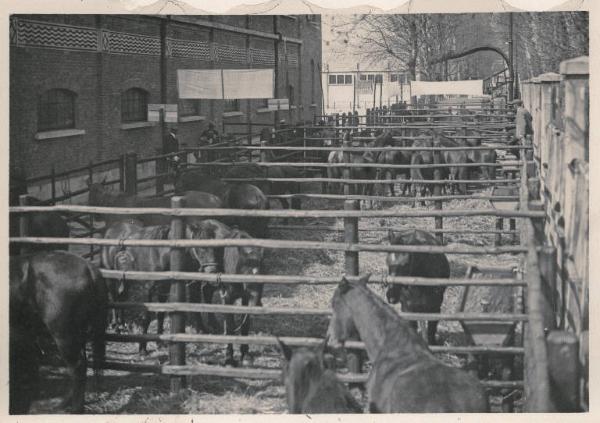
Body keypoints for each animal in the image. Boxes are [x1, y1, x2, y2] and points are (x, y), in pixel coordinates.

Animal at [10, 252, 106, 414]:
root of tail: (89, 267)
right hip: (77, 333)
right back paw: (64, 403)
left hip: (63, 334)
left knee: (77, 366)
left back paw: (75, 409)